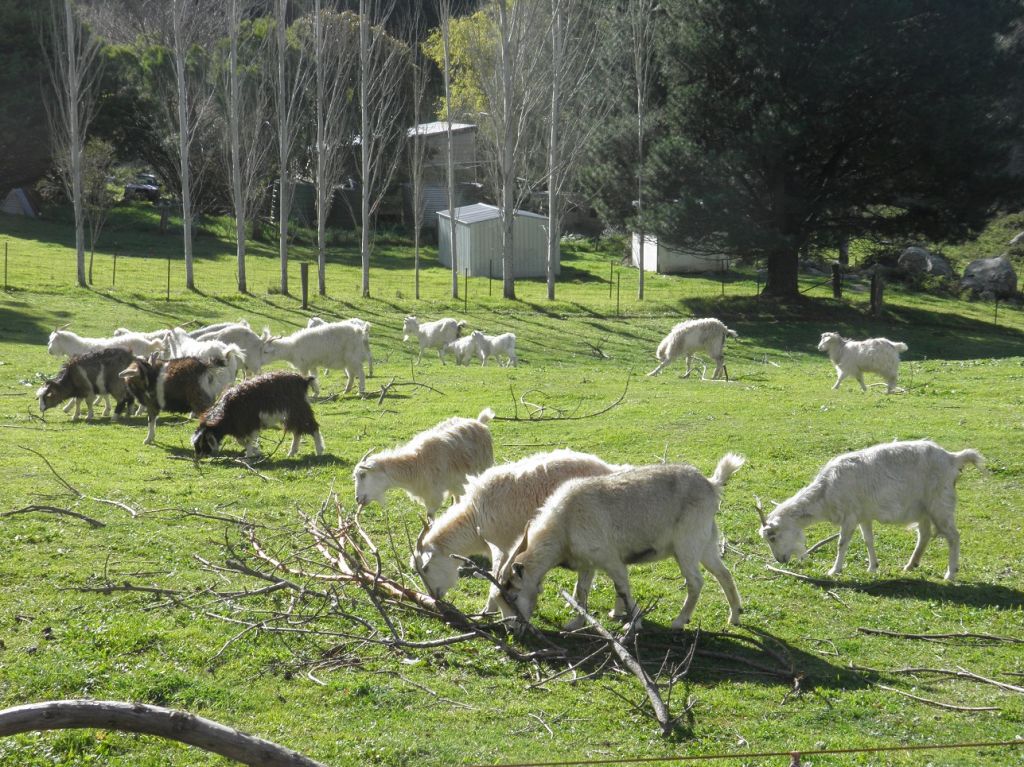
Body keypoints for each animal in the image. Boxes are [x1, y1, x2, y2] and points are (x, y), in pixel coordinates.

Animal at [190, 368, 321, 458]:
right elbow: (241, 441)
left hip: (299, 409)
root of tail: (303, 380)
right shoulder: (240, 426)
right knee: (297, 432)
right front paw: (256, 451)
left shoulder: (249, 423)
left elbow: (246, 440)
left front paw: (249, 455)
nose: (199, 457)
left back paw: (319, 450)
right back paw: (292, 452)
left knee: (313, 427)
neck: (227, 411)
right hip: (292, 415)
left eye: (204, 443)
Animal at [352, 407, 495, 520]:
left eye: (363, 474)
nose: (357, 499)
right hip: (457, 483)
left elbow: (430, 518)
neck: (415, 463)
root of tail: (479, 422)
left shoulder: (433, 496)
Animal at [409, 448, 618, 610]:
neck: (474, 516)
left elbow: (495, 578)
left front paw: (489, 610)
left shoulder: (502, 547)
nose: (434, 596)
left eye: (425, 568)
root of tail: (609, 470)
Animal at [497, 454, 745, 626]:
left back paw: (679, 621)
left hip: (686, 545)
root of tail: (712, 484)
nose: (512, 627)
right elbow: (582, 591)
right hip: (706, 543)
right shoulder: (588, 563)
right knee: (724, 574)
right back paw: (734, 616)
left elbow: (622, 588)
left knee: (696, 582)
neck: (564, 524)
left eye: (514, 596)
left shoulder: (610, 559)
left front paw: (634, 622)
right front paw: (578, 622)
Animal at [761, 436, 983, 581]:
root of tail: (953, 458)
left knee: (953, 536)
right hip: (923, 509)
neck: (825, 491)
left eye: (772, 537)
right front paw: (872, 567)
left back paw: (950, 574)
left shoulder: (850, 516)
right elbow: (868, 540)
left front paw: (834, 570)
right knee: (925, 534)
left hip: (940, 504)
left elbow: (842, 543)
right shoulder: (863, 516)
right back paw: (911, 565)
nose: (780, 560)